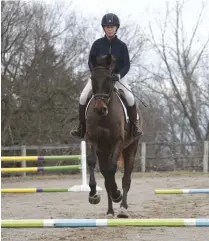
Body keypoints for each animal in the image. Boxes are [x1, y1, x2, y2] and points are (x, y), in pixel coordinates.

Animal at [85, 54, 142, 218]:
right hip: (103, 151)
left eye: (109, 79)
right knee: (106, 177)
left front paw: (117, 194)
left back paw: (122, 208)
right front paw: (93, 194)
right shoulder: (92, 140)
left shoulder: (117, 142)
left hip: (131, 149)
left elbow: (112, 170)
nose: (100, 109)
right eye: (92, 78)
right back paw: (110, 211)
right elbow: (92, 163)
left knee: (126, 179)